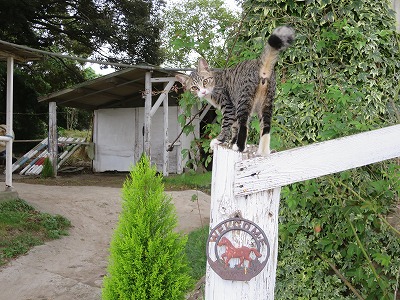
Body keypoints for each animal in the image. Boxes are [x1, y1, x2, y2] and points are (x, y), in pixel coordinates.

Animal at [177, 25, 296, 156]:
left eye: (205, 81)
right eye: (194, 88)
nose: (202, 92)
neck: (215, 82)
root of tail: (259, 66)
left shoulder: (229, 106)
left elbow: (226, 125)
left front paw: (219, 140)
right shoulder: (233, 109)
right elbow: (234, 127)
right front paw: (233, 141)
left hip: (243, 100)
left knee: (243, 124)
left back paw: (240, 147)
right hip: (266, 101)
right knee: (265, 126)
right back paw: (263, 151)